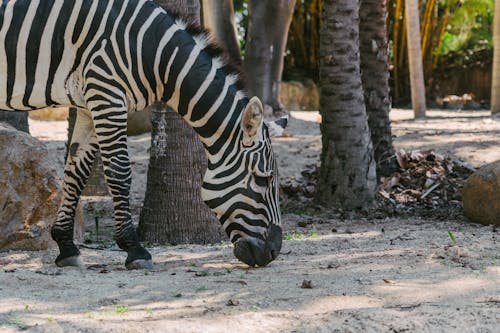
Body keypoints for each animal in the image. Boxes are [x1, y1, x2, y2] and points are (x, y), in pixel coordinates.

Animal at [1, 0, 288, 268]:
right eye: (263, 179)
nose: (273, 252)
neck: (151, 51)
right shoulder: (107, 94)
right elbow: (119, 173)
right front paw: (134, 249)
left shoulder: (86, 105)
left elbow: (76, 174)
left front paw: (66, 246)